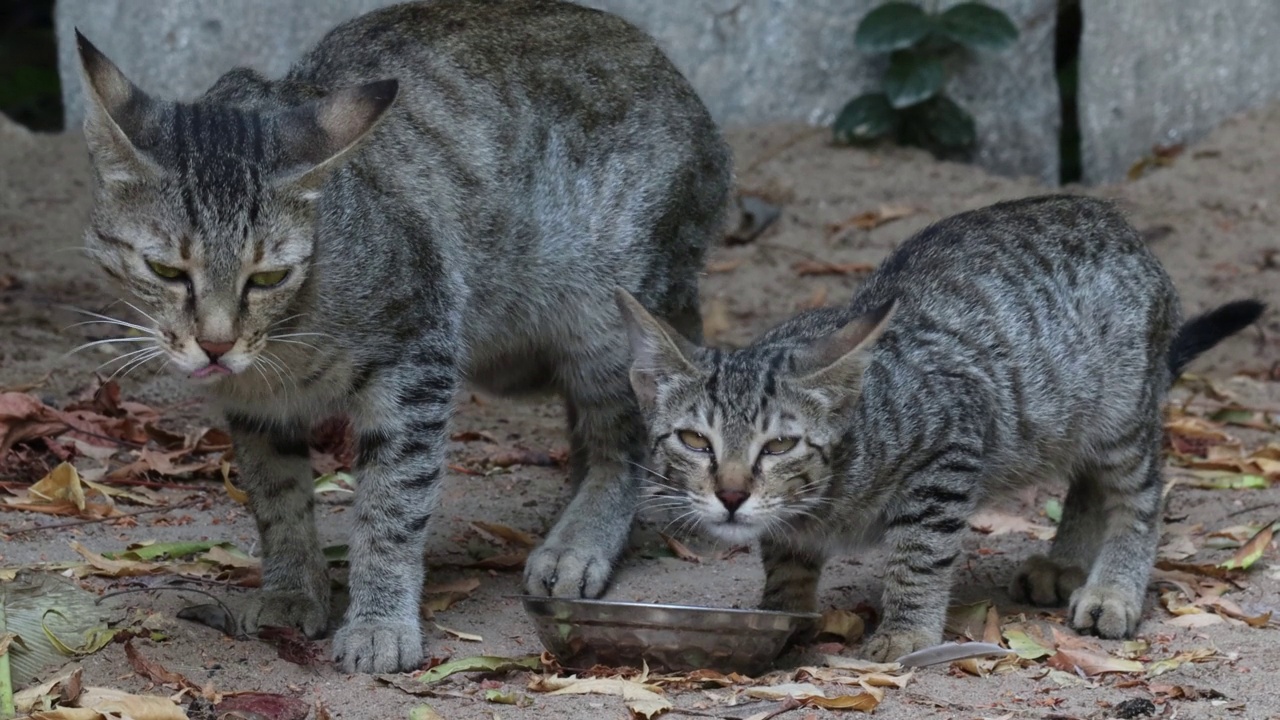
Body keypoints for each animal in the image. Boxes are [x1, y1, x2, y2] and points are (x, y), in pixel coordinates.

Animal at [74, 0, 732, 671]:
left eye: (268, 277)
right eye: (166, 271)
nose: (215, 344)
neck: (287, 344)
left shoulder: (419, 360)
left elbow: (393, 502)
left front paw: (379, 622)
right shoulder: (255, 405)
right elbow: (275, 494)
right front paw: (291, 589)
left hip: (605, 319)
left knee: (622, 441)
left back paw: (579, 541)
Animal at [616, 193, 1259, 661]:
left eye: (779, 445)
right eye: (694, 440)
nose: (730, 496)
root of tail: (1119, 223)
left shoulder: (948, 446)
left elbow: (920, 553)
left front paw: (905, 631)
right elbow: (785, 556)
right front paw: (781, 611)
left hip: (1121, 413)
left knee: (1137, 494)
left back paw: (1112, 587)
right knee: (1086, 483)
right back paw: (1066, 562)